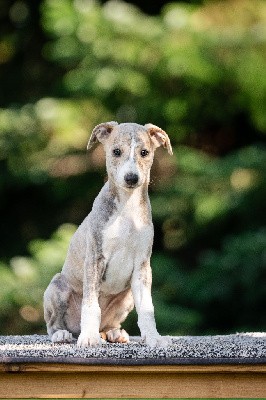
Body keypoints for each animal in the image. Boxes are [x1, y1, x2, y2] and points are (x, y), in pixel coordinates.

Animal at [43, 122, 172, 346]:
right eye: (116, 152)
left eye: (144, 152)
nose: (131, 178)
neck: (127, 208)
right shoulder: (95, 258)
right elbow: (90, 305)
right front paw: (88, 338)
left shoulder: (142, 265)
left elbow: (147, 309)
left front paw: (154, 338)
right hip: (57, 287)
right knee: (53, 323)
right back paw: (63, 334)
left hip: (127, 297)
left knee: (108, 324)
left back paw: (114, 333)